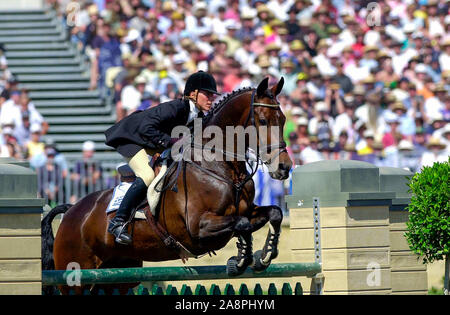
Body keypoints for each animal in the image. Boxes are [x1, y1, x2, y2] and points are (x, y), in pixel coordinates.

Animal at [41, 78, 292, 296]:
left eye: (283, 120)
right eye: (262, 121)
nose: (285, 167)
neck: (219, 165)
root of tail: (72, 210)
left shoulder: (247, 211)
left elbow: (273, 213)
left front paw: (262, 256)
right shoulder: (198, 227)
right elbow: (241, 224)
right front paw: (240, 260)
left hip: (118, 276)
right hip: (75, 278)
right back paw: (118, 227)